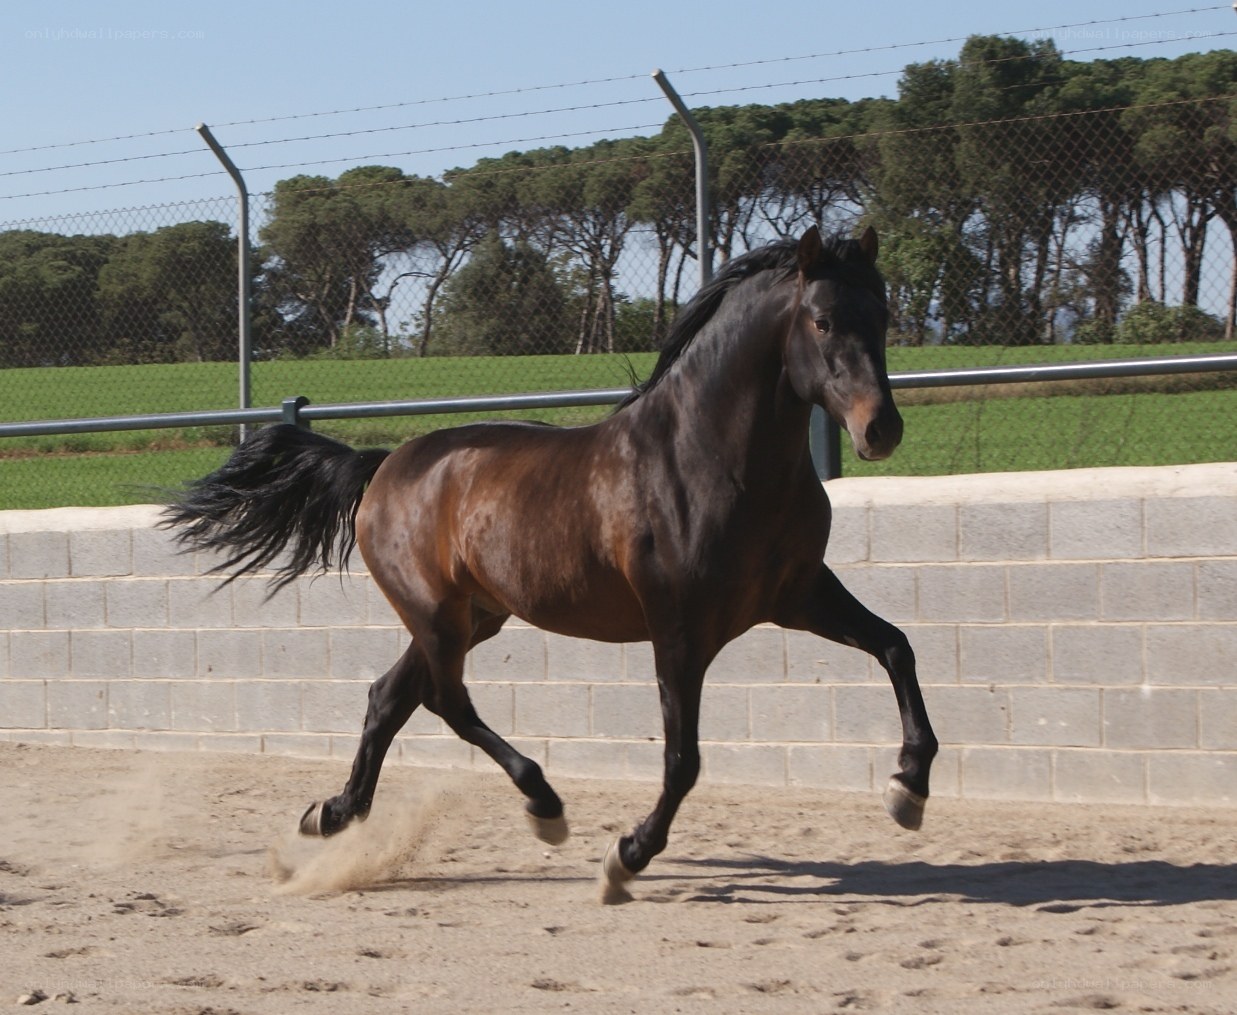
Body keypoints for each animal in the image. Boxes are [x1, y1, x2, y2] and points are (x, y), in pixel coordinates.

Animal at [162, 224, 938, 903]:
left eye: (882, 314)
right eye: (822, 320)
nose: (882, 428)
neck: (708, 457)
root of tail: (382, 465)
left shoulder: (797, 594)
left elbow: (896, 646)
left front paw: (908, 789)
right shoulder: (680, 627)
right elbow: (682, 757)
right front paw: (626, 858)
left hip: (476, 615)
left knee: (388, 696)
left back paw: (330, 814)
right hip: (437, 615)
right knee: (444, 701)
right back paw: (544, 804)